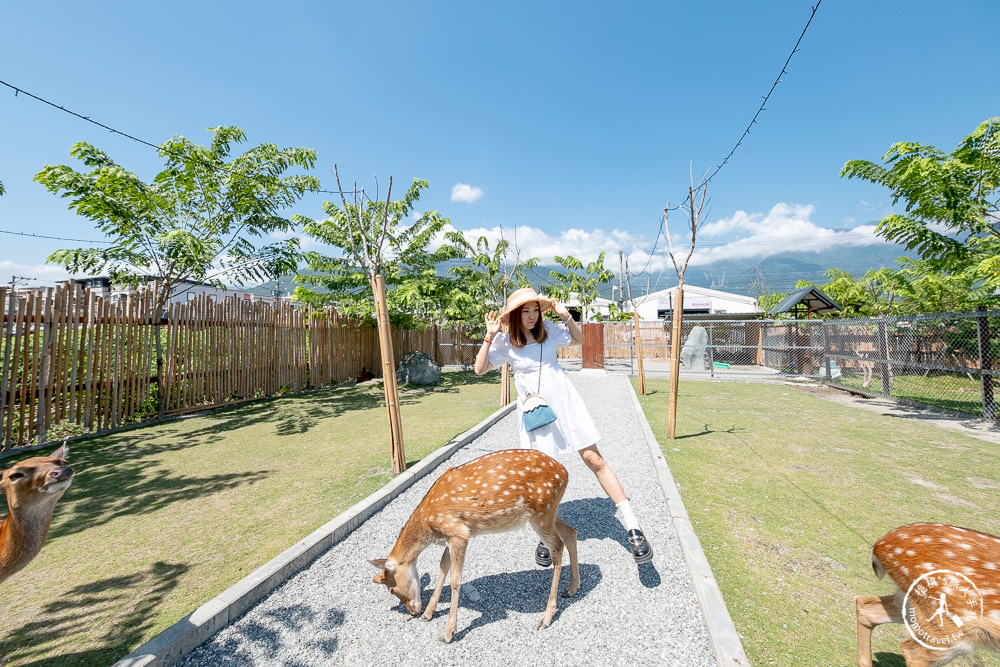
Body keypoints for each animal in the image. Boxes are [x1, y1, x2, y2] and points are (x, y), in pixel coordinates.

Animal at [372, 448, 584, 640]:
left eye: (391, 589)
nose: (413, 612)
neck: (429, 525)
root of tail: (565, 472)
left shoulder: (458, 532)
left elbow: (455, 579)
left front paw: (448, 633)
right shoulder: (450, 535)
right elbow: (443, 566)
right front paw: (428, 614)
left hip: (542, 512)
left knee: (557, 546)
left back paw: (546, 617)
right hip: (549, 512)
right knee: (571, 533)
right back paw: (572, 588)